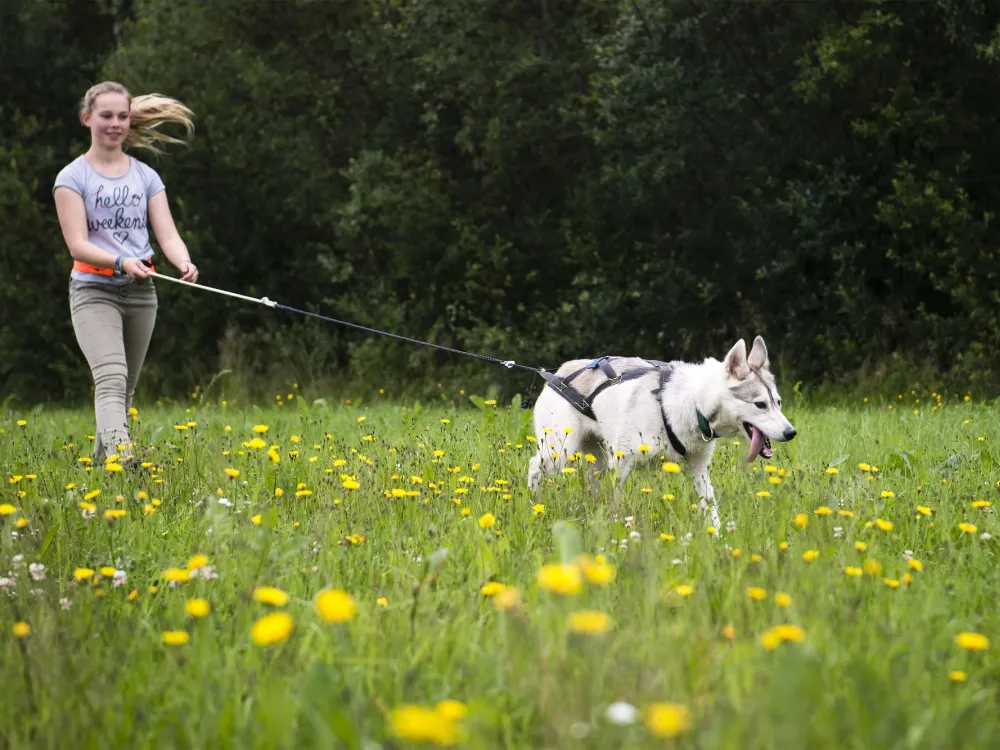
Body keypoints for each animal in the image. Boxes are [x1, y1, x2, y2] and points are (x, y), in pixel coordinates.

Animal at [524, 338, 796, 524]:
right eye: (760, 404)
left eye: (778, 402)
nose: (791, 433)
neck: (693, 404)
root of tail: (557, 372)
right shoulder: (622, 464)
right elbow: (616, 502)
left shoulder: (699, 468)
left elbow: (710, 506)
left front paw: (719, 541)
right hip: (559, 453)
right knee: (534, 466)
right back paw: (535, 503)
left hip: (596, 462)